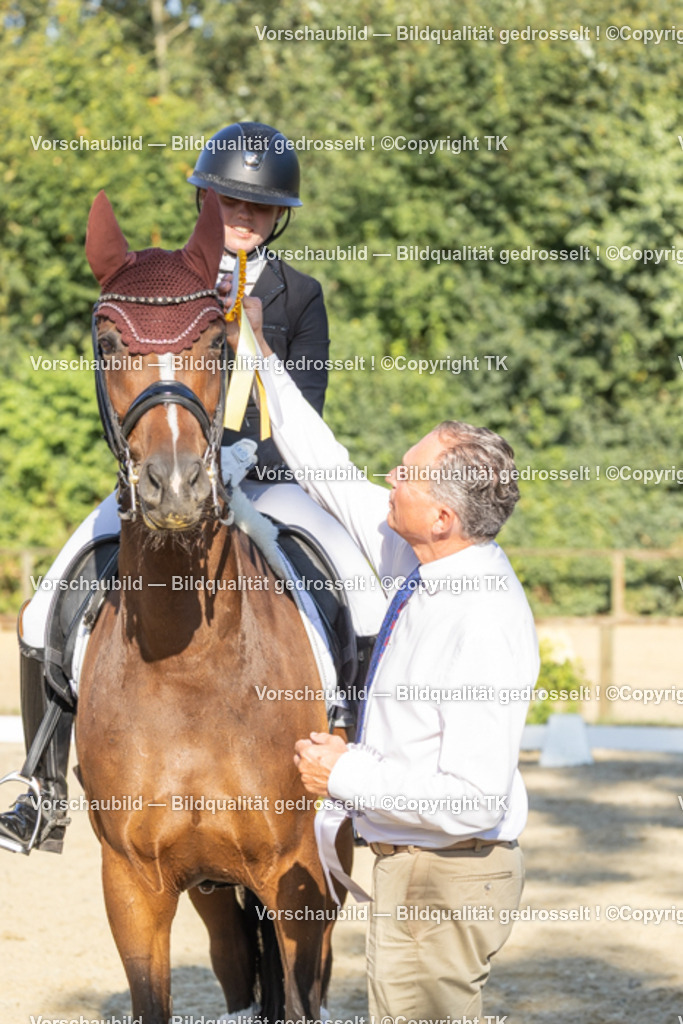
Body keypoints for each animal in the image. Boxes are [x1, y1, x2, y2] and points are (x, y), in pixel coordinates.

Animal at [75, 188, 350, 1022]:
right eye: (108, 341)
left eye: (216, 341)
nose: (174, 486)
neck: (187, 666)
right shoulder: (133, 883)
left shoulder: (298, 882)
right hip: (210, 889)